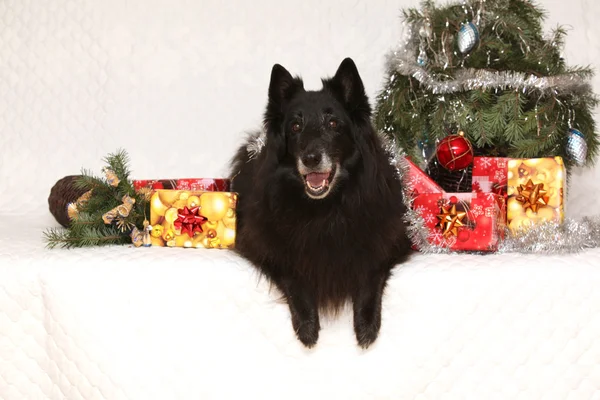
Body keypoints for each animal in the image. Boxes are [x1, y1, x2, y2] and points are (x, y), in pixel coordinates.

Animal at [231, 57, 412, 348]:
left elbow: (370, 272)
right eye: (295, 127)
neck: (326, 208)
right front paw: (307, 324)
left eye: (333, 124)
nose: (311, 159)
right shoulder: (262, 244)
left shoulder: (389, 240)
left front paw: (366, 323)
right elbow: (293, 273)